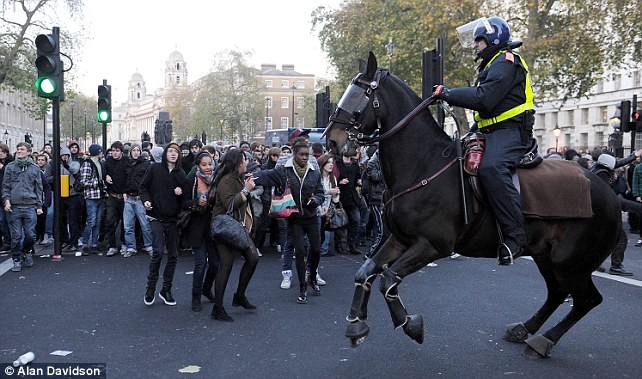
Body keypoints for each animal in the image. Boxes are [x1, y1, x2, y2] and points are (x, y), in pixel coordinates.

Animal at [324, 52, 620, 360]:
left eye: (362, 93)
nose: (331, 140)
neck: (424, 165)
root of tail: (608, 193)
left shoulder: (433, 244)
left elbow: (388, 278)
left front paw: (411, 325)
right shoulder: (400, 238)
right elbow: (366, 272)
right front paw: (357, 326)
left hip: (570, 262)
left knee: (586, 299)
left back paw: (544, 340)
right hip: (546, 255)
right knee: (558, 293)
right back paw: (524, 330)